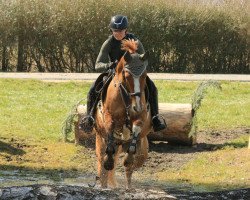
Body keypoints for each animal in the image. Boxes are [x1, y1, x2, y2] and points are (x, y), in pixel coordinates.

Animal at [93, 39, 150, 189]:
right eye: (127, 76)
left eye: (144, 76)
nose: (137, 106)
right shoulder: (108, 118)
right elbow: (109, 151)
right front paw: (108, 162)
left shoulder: (140, 118)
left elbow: (135, 130)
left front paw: (128, 158)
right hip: (100, 138)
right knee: (102, 162)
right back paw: (104, 183)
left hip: (141, 147)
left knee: (133, 164)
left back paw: (127, 185)